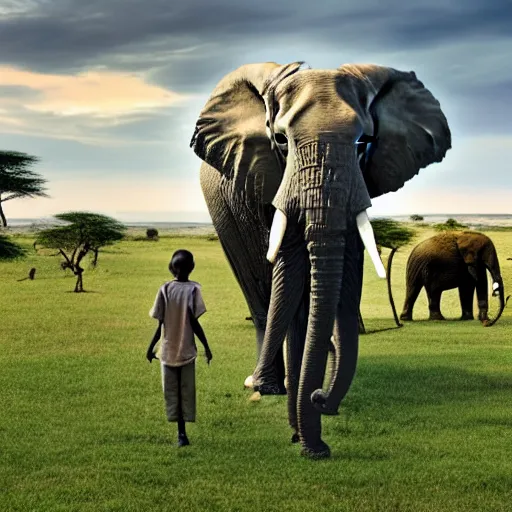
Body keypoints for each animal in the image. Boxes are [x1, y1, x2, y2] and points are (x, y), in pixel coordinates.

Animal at [190, 62, 450, 458]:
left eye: (363, 143)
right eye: (281, 141)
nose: (319, 397)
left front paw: (307, 429)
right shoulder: (268, 179)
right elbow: (292, 286)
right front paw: (304, 434)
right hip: (225, 213)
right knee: (261, 294)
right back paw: (264, 386)